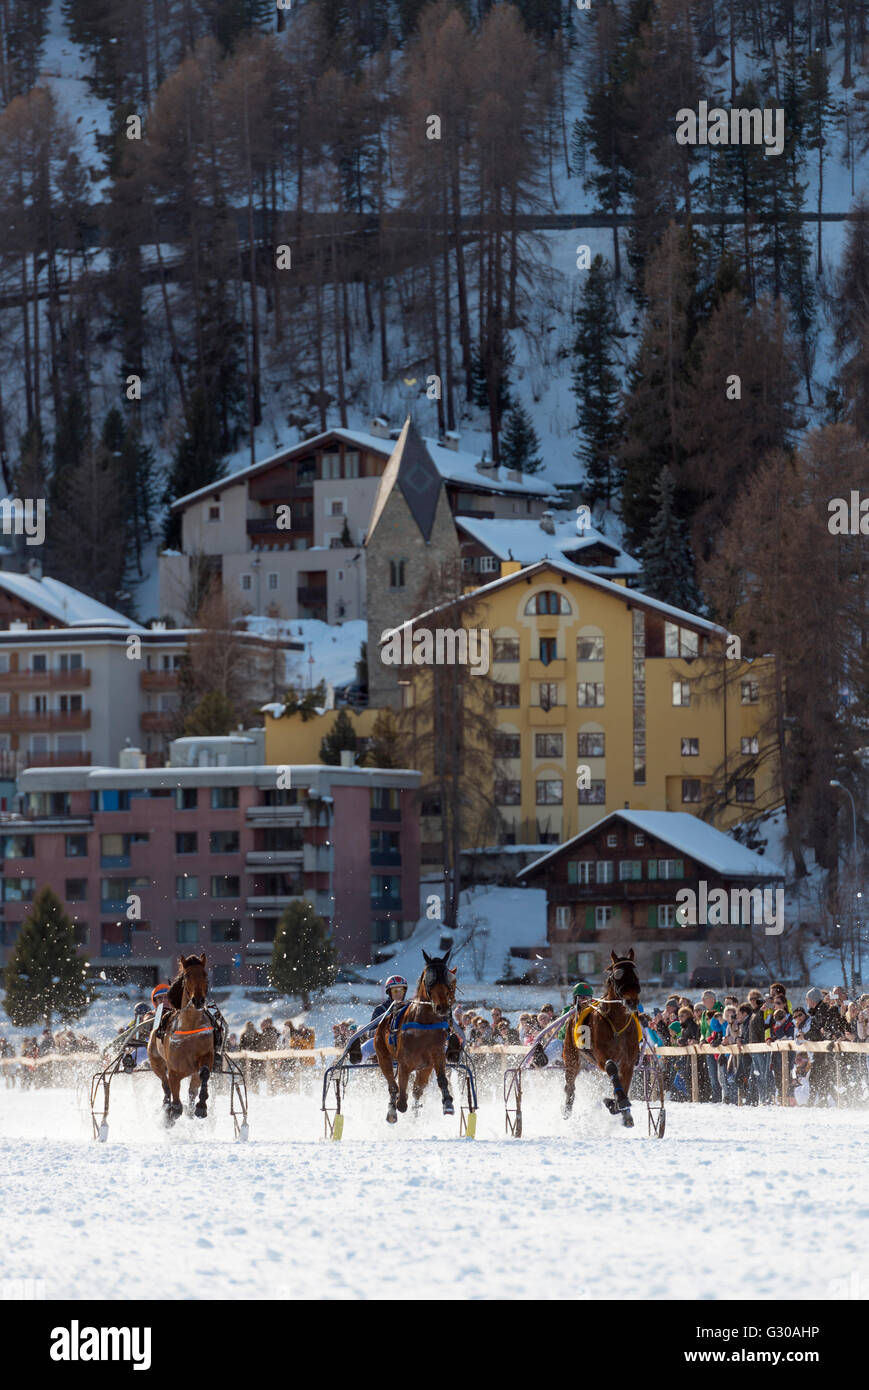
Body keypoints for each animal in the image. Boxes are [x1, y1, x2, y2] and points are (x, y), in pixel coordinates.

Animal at [145, 950, 214, 1123]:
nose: (198, 1000)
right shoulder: (174, 1070)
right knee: (164, 1084)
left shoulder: (206, 1055)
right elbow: (175, 1100)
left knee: (192, 1089)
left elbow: (204, 1074)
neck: (190, 1026)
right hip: (155, 1061)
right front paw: (170, 1113)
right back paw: (166, 1106)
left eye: (204, 974)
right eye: (187, 975)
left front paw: (201, 1106)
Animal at [369, 950, 453, 1123]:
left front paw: (448, 1103)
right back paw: (393, 1109)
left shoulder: (436, 1056)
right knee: (393, 1086)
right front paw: (397, 1106)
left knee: (416, 1090)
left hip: (424, 1069)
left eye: (447, 976)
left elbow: (441, 1079)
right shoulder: (404, 1062)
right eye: (429, 978)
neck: (424, 1023)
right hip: (382, 1056)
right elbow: (401, 1095)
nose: (442, 1007)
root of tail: (382, 1022)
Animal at [561, 945, 645, 1128]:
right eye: (617, 975)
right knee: (570, 1085)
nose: (632, 1001)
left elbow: (624, 1083)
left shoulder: (629, 1061)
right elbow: (611, 1067)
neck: (617, 1025)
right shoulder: (601, 1056)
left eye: (636, 973)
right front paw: (619, 1101)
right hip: (571, 1056)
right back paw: (567, 1110)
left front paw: (618, 1106)